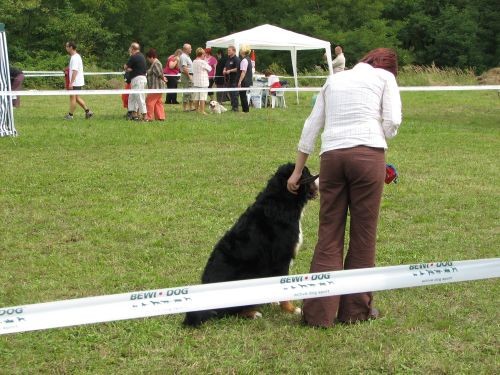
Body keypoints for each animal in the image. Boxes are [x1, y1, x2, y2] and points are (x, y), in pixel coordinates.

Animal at [183, 163, 316, 328]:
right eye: (308, 173)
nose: (319, 177)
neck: (281, 201)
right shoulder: (281, 259)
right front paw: (291, 310)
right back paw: (252, 313)